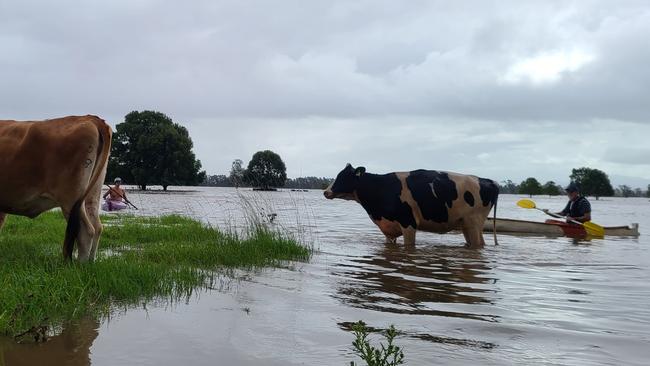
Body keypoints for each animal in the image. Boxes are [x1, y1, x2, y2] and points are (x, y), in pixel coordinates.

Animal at [0, 116, 112, 262]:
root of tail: (90, 118)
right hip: (93, 194)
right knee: (97, 226)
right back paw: (90, 262)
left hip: (71, 199)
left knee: (86, 231)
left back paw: (79, 265)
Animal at [322, 165, 496, 249]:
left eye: (344, 177)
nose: (326, 192)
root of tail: (487, 180)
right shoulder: (388, 228)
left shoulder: (408, 223)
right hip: (466, 225)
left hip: (474, 223)